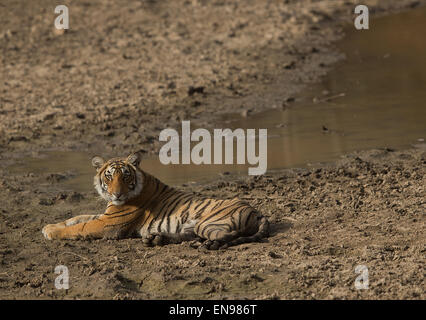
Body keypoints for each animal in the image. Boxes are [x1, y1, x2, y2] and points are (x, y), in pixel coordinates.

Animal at [42, 152, 270, 250]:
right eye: (109, 177)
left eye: (125, 176)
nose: (117, 194)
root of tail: (256, 211)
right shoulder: (106, 215)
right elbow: (78, 217)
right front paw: (48, 226)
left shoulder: (109, 223)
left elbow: (79, 227)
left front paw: (52, 233)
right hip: (192, 226)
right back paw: (156, 239)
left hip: (208, 223)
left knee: (228, 235)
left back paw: (207, 244)